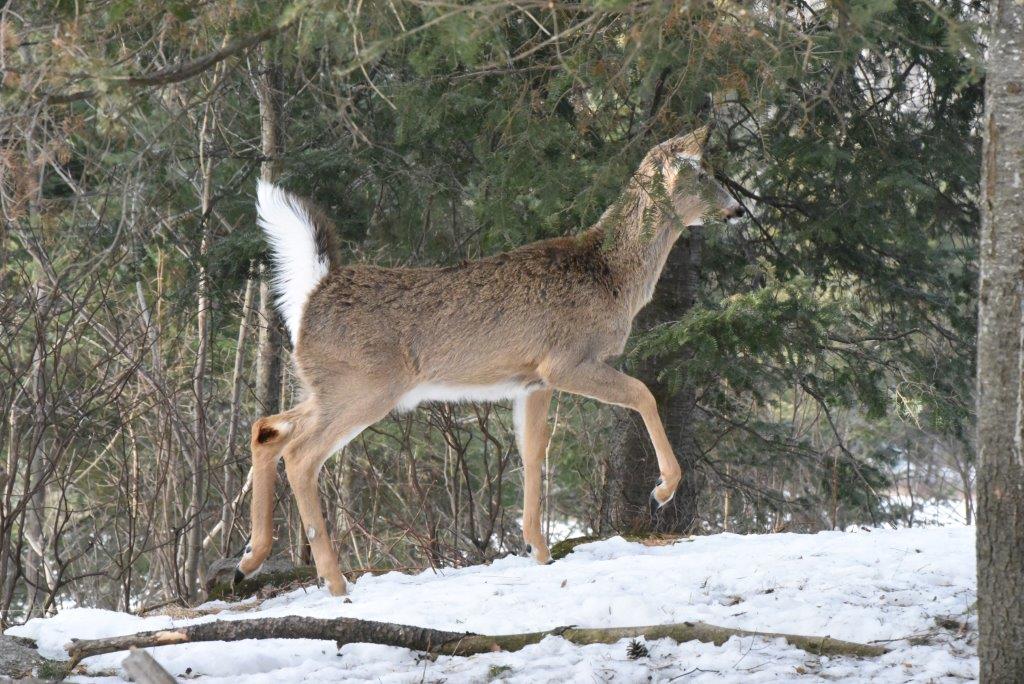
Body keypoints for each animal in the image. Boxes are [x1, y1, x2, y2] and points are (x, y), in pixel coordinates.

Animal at [234, 126, 744, 596]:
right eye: (702, 172)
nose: (738, 209)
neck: (613, 277)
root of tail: (313, 294)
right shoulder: (566, 359)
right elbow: (643, 393)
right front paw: (663, 488)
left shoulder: (533, 380)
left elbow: (532, 450)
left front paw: (538, 548)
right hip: (366, 386)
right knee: (301, 454)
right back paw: (334, 581)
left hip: (330, 387)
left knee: (268, 429)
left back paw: (250, 559)